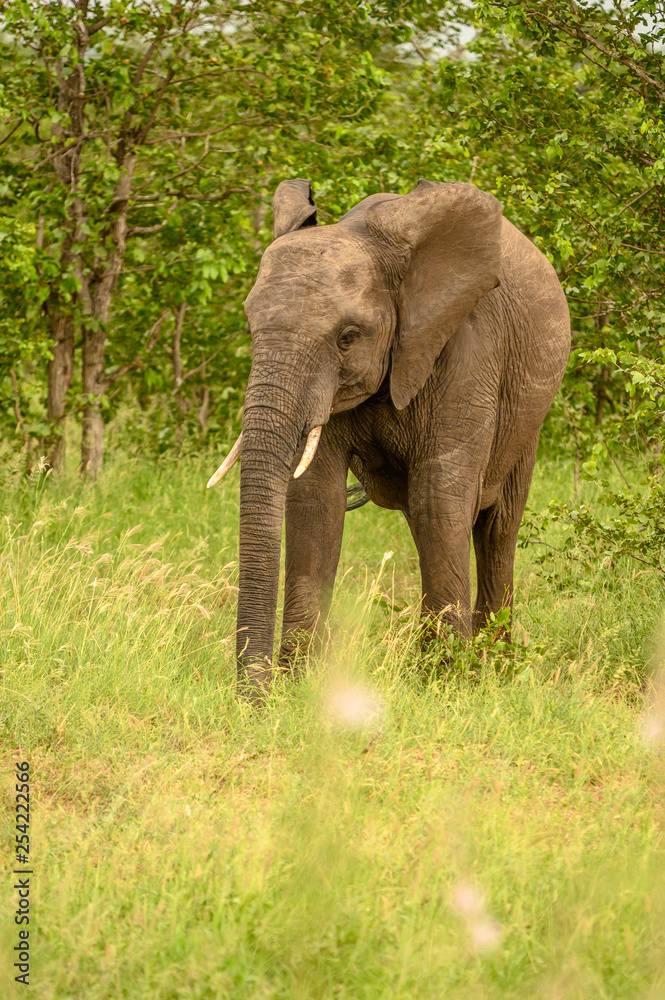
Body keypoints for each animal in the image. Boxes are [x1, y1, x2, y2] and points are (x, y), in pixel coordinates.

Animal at [208, 177, 570, 696]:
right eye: (249, 327)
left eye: (347, 337)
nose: (252, 700)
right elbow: (315, 499)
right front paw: (298, 685)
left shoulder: (467, 348)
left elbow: (439, 497)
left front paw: (444, 686)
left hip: (528, 416)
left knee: (494, 527)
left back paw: (495, 668)